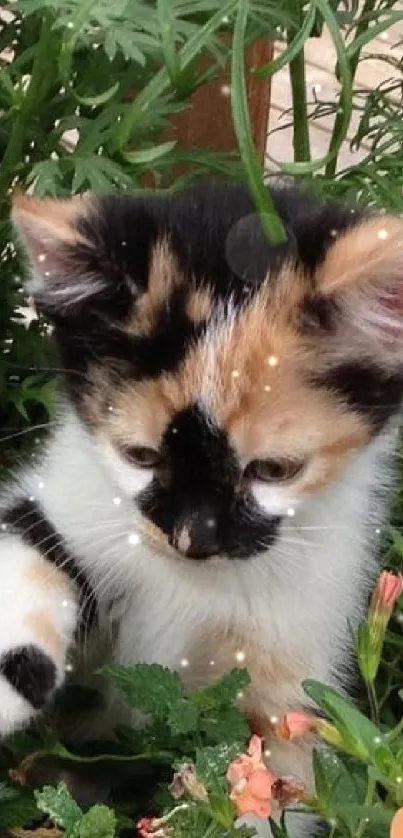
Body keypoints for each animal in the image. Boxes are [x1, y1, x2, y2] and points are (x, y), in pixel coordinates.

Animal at [0, 182, 403, 832]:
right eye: (138, 456)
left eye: (273, 471)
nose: (193, 538)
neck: (194, 583)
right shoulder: (78, 492)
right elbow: (36, 537)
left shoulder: (292, 663)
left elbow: (264, 779)